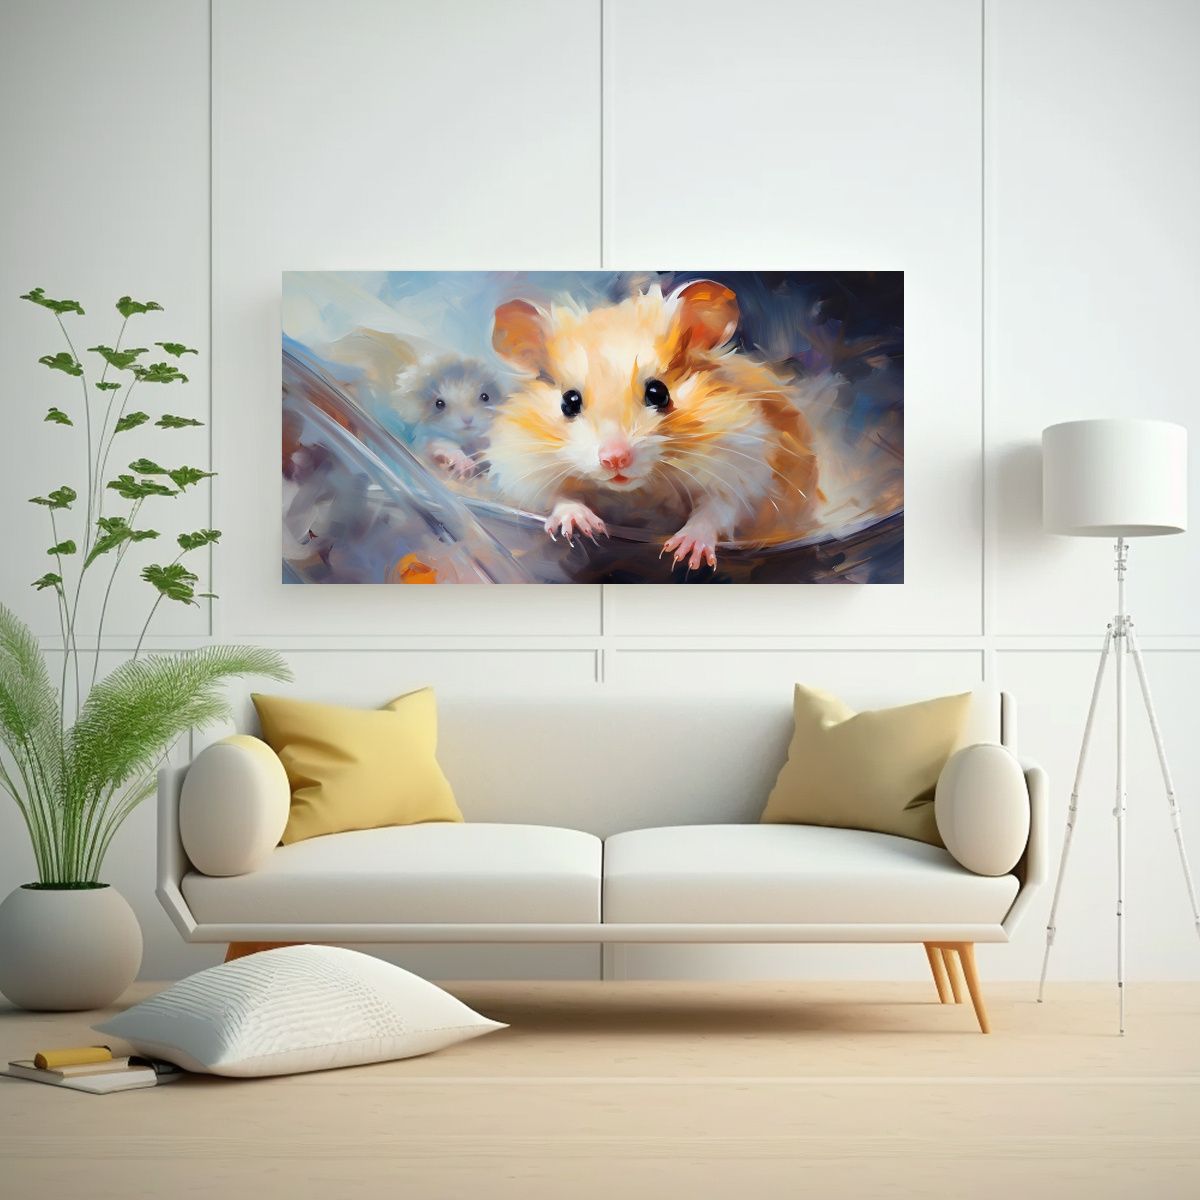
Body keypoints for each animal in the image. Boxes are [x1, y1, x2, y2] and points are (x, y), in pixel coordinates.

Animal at [486, 280, 821, 570]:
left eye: (658, 393)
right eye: (569, 401)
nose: (614, 460)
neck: (639, 489)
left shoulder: (742, 468)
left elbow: (716, 510)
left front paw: (683, 553)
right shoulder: (524, 469)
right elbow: (556, 498)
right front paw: (582, 526)